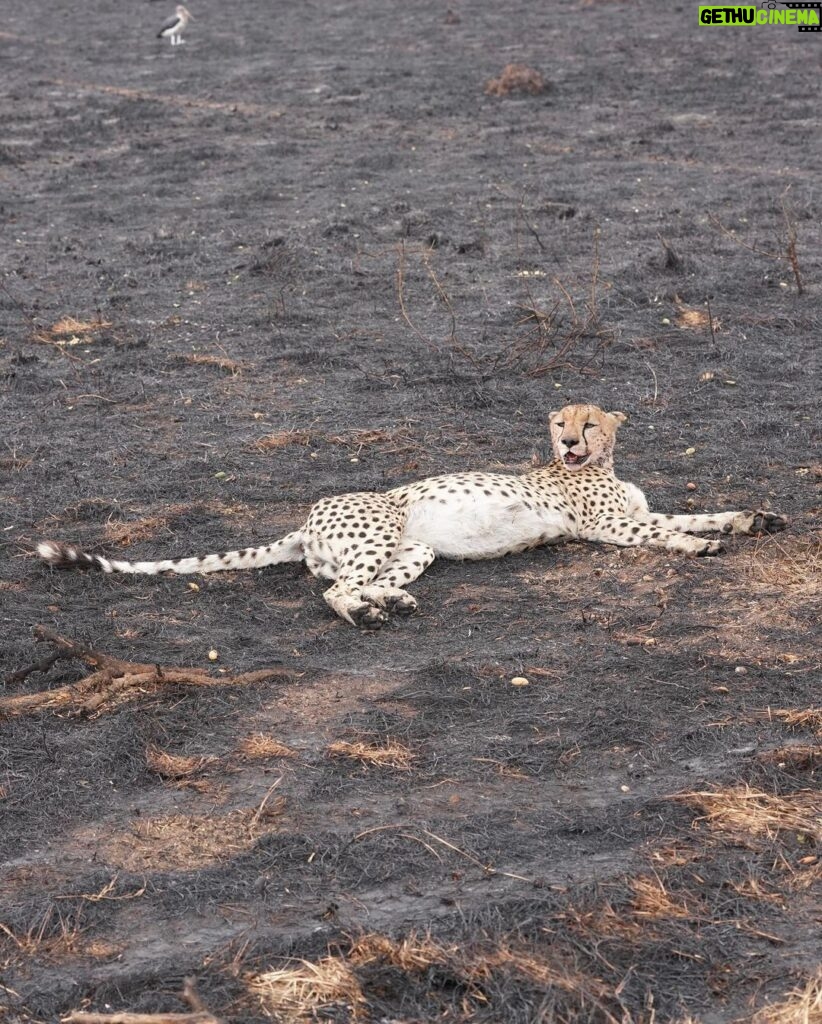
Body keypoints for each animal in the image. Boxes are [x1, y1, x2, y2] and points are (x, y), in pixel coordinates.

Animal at [36, 403, 786, 626]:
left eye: (591, 423)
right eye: (560, 423)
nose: (571, 443)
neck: (595, 466)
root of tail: (308, 517)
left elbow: (699, 513)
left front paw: (753, 520)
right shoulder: (612, 529)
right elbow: (669, 531)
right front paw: (707, 546)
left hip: (413, 548)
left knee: (355, 580)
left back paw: (390, 600)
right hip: (380, 528)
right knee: (334, 591)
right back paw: (370, 614)